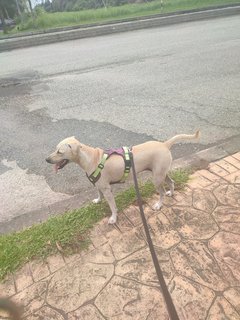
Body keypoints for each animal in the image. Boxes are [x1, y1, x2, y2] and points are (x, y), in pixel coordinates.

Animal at [46, 131, 200, 224]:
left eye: (60, 152)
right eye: (55, 149)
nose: (46, 160)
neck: (90, 158)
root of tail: (164, 144)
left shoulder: (107, 190)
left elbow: (112, 207)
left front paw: (113, 218)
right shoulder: (98, 185)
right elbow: (98, 193)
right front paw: (98, 200)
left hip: (156, 178)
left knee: (161, 192)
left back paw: (159, 204)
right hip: (161, 173)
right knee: (171, 182)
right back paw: (171, 193)